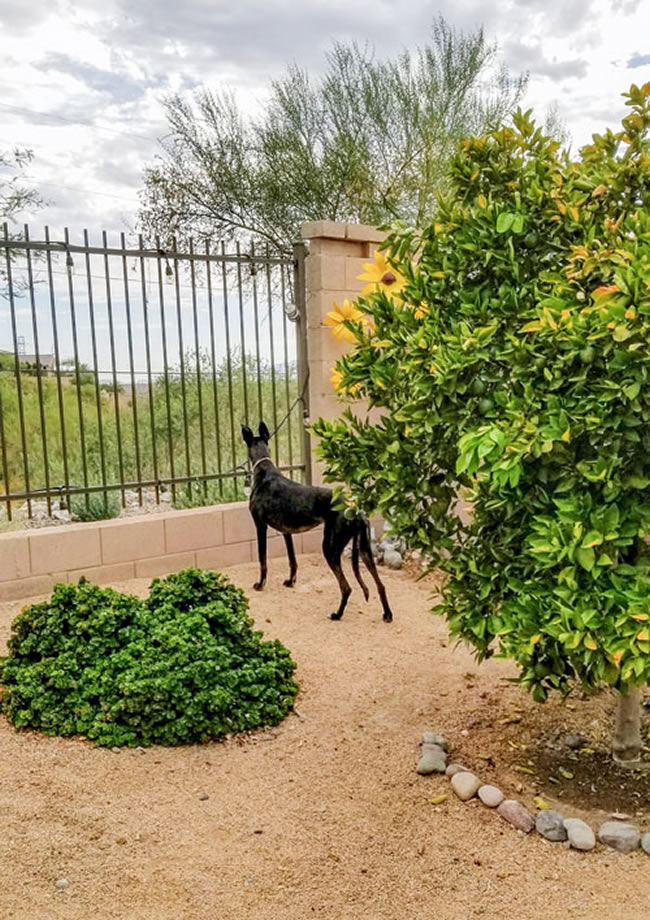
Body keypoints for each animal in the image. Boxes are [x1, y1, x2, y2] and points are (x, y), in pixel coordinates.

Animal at [240, 424, 392, 624]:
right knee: (381, 585)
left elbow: (262, 559)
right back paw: (387, 614)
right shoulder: (287, 532)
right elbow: (293, 560)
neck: (264, 469)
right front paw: (291, 582)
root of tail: (356, 512)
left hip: (330, 548)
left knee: (346, 587)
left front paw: (260, 584)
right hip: (365, 551)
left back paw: (337, 614)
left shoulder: (260, 525)